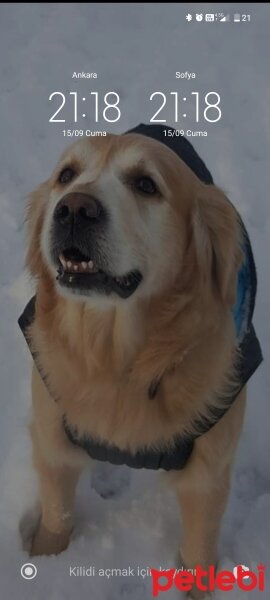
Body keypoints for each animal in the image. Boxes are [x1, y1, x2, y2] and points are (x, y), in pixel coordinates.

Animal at [19, 130, 262, 600]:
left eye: (146, 184)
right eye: (66, 175)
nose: (74, 208)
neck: (117, 360)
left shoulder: (209, 473)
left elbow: (200, 548)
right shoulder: (52, 437)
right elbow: (57, 512)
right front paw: (44, 559)